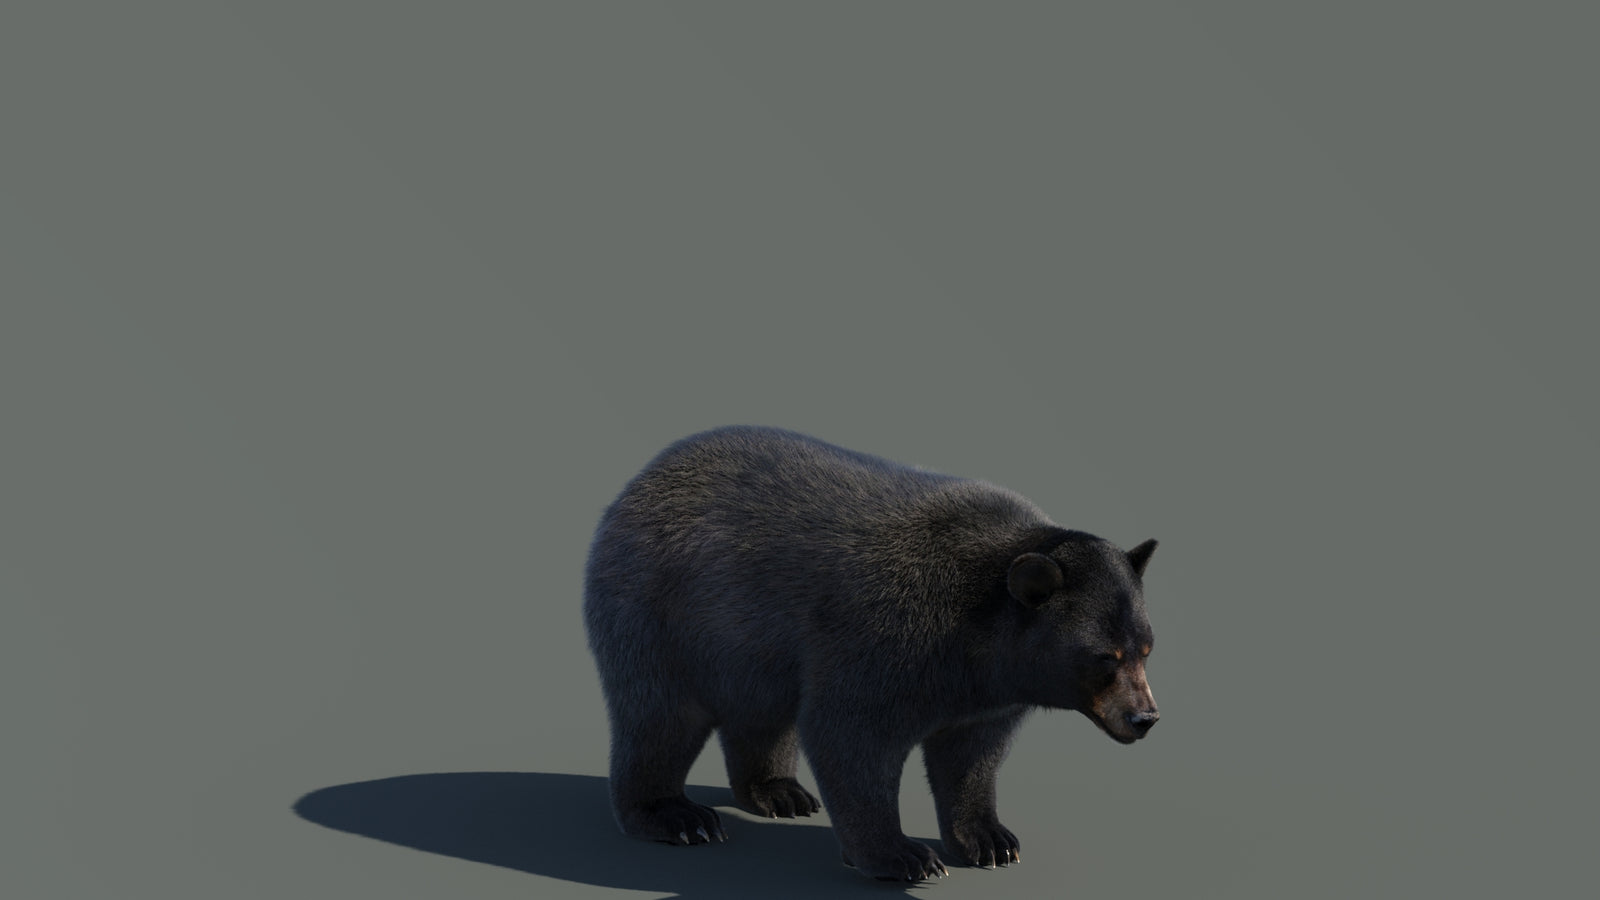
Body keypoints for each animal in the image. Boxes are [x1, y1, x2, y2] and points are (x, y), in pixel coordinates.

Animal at [582, 426, 1160, 882]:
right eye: (1105, 655)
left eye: (1147, 648)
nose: (1145, 718)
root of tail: (639, 480)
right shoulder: (888, 635)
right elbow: (852, 734)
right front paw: (902, 855)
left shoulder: (987, 694)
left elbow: (971, 754)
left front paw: (991, 839)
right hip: (659, 614)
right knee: (659, 716)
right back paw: (677, 816)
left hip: (747, 647)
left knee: (761, 713)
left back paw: (779, 792)